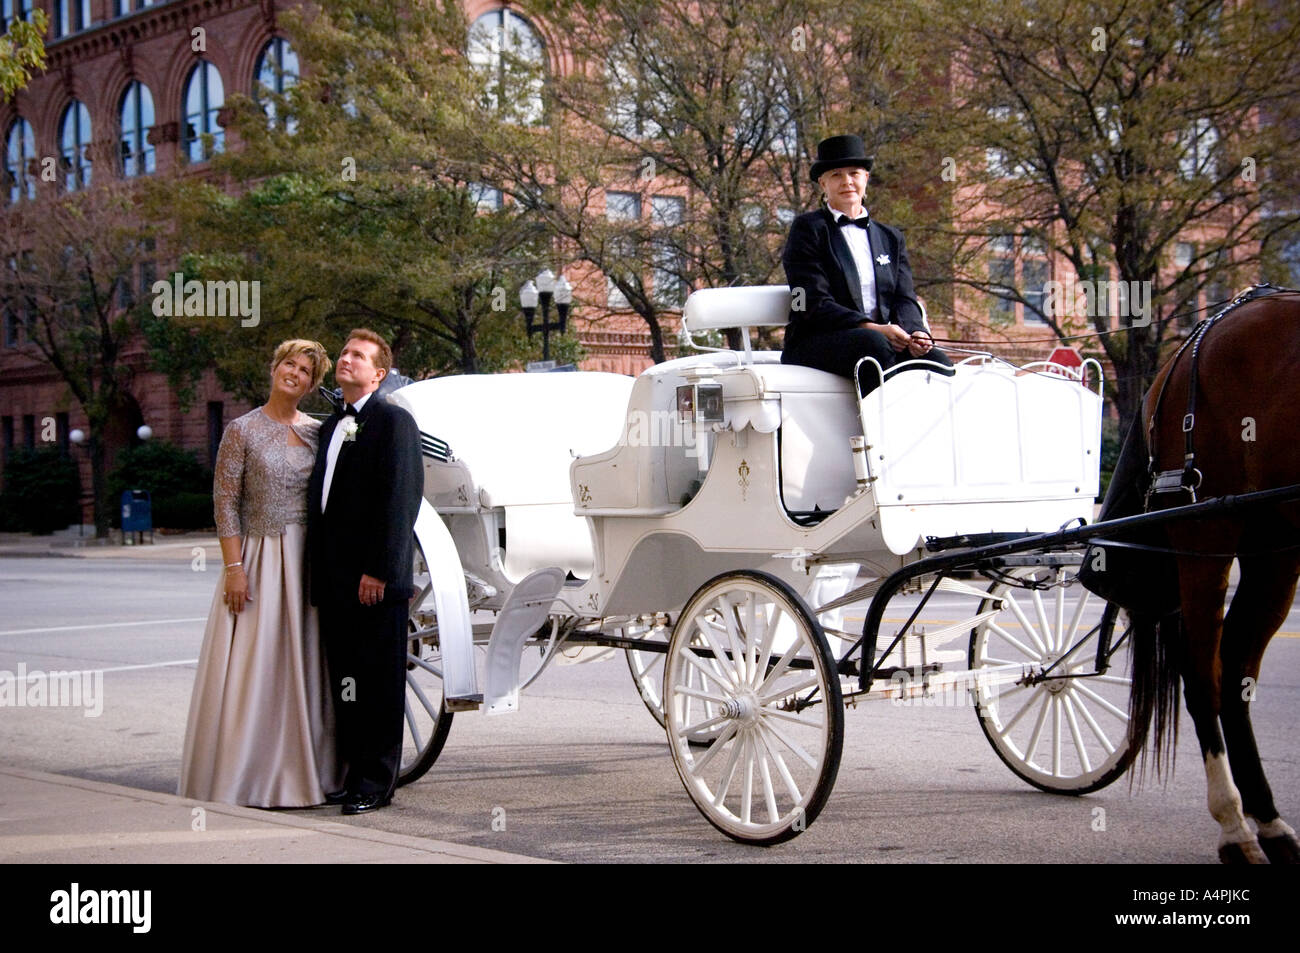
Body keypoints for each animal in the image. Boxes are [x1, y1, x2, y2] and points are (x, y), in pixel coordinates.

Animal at [1081, 288, 1300, 863]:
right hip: (1208, 530)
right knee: (1203, 672)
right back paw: (1236, 827)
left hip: (1273, 544)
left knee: (1234, 668)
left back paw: (1268, 823)